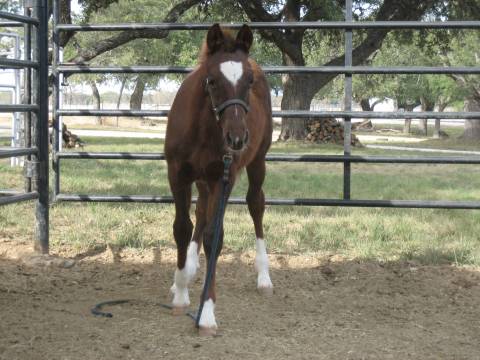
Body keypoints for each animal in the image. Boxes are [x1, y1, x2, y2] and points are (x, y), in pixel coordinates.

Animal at [164, 24, 274, 334]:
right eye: (211, 80)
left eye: (249, 81)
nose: (236, 139)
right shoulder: (177, 175)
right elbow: (182, 228)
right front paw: (180, 292)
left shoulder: (223, 178)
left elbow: (215, 237)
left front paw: (207, 312)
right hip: (201, 180)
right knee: (200, 211)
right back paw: (189, 268)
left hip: (256, 162)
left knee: (256, 204)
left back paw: (264, 276)